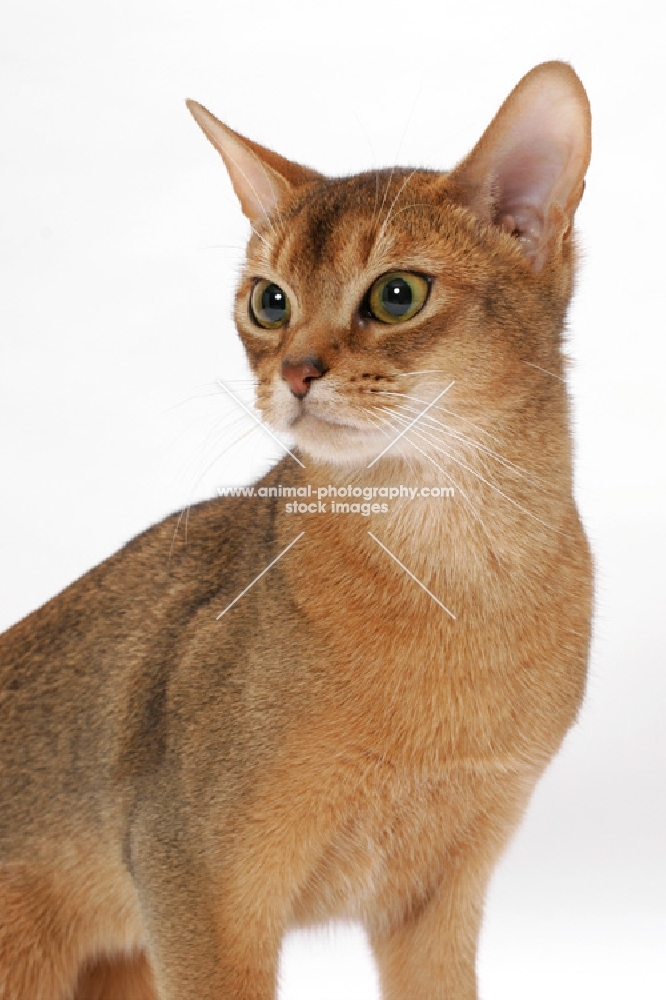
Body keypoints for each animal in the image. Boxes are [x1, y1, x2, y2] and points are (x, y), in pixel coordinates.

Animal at [0, 62, 592, 1000]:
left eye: (397, 294)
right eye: (269, 302)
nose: (294, 371)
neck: (458, 580)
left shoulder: (441, 894)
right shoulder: (194, 878)